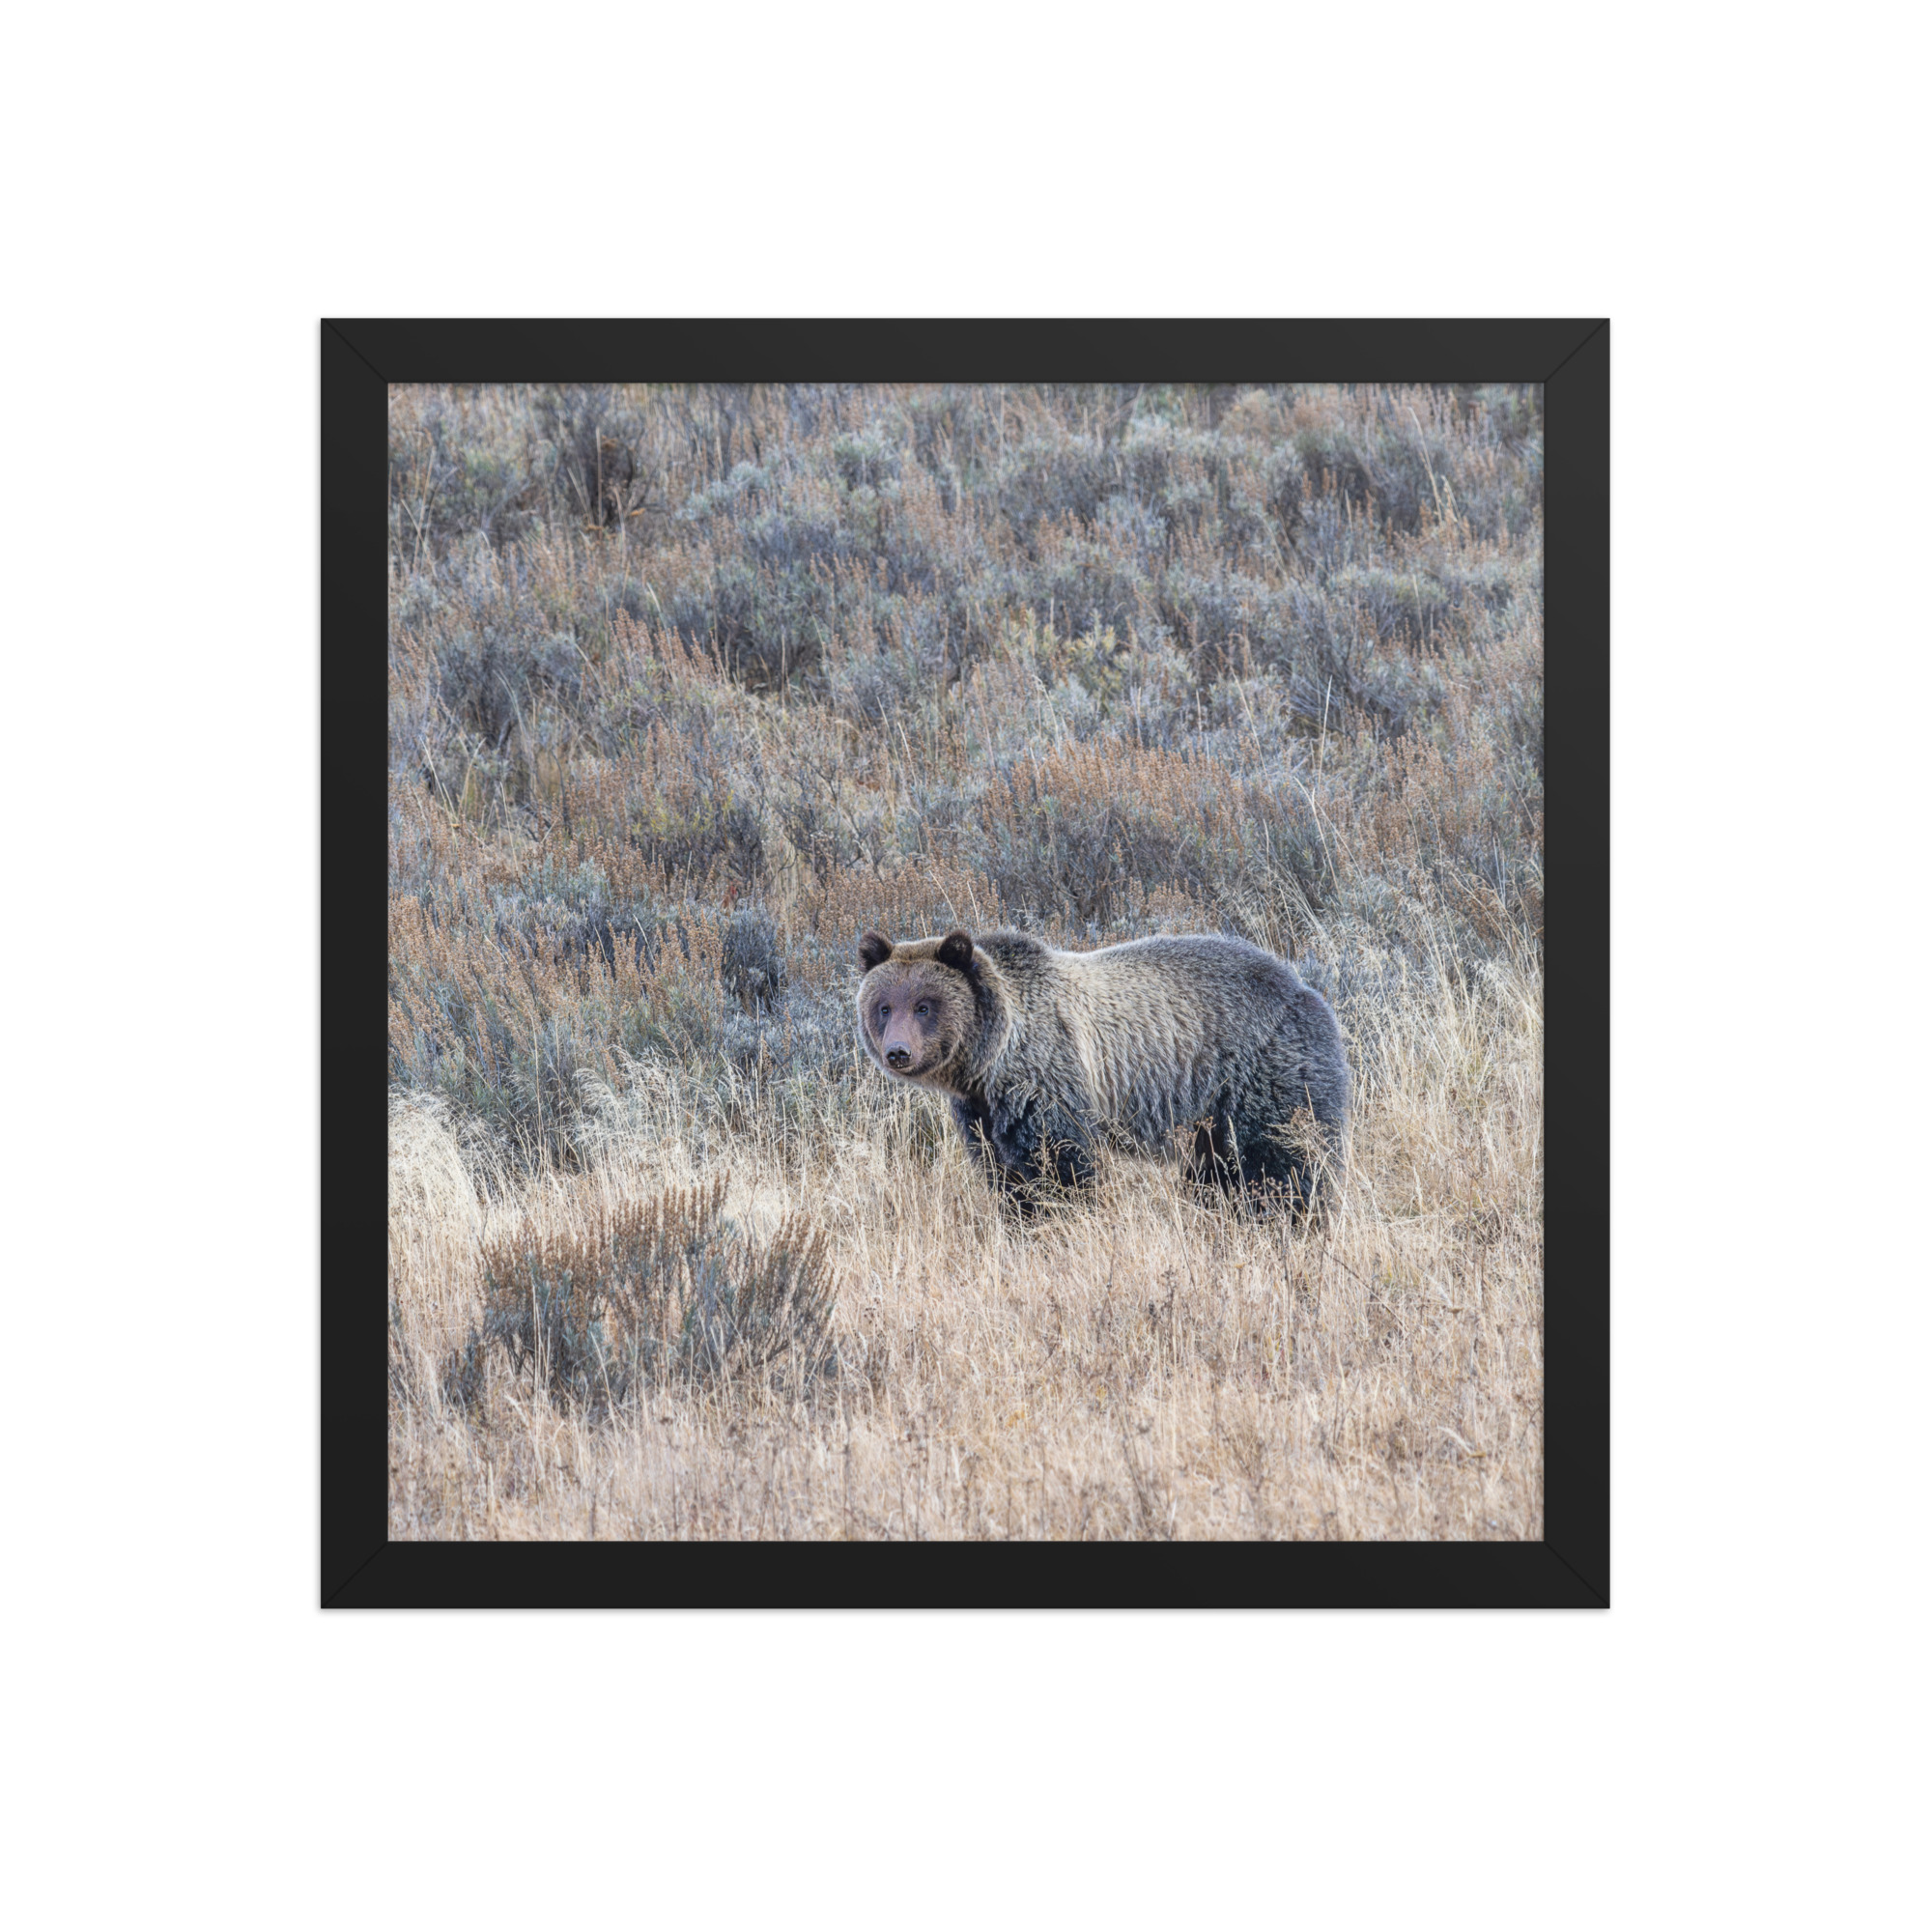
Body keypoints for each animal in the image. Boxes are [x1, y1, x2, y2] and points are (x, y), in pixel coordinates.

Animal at [855, 927, 1348, 1216]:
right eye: (884, 1006)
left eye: (924, 1005)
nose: (898, 1052)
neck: (990, 1062)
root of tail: (1305, 988)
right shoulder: (982, 1113)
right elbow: (1005, 1174)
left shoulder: (1048, 1081)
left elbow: (1062, 1167)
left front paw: (1063, 1219)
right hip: (1211, 1116)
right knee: (1217, 1173)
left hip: (1263, 1073)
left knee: (1283, 1161)